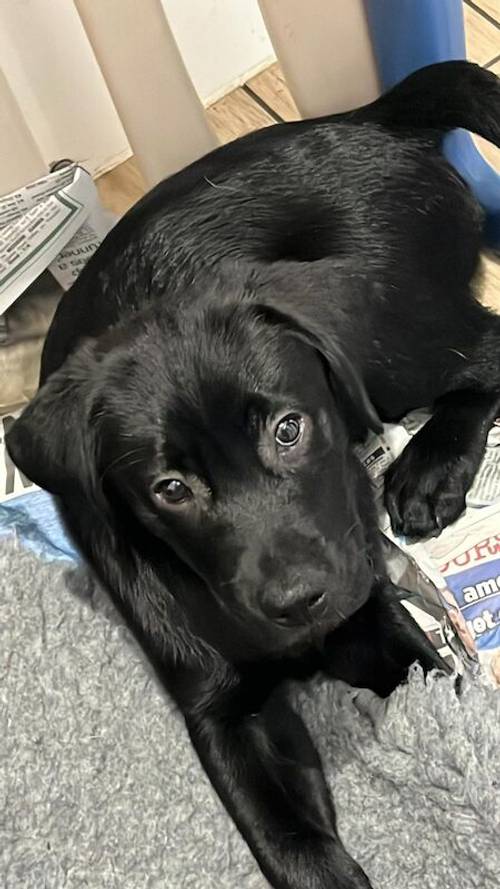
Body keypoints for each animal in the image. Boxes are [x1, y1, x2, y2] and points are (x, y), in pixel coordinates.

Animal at [6, 62, 500, 888]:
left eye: (289, 429)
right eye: (171, 489)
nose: (298, 601)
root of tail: (370, 117)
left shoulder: (367, 614)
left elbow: (440, 688)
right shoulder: (222, 711)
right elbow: (291, 842)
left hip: (385, 340)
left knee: (485, 347)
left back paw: (428, 468)